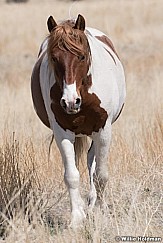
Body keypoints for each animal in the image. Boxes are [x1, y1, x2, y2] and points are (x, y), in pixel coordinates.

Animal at [30, 14, 126, 228]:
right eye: (54, 58)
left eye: (81, 56)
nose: (70, 102)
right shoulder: (62, 132)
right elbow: (71, 175)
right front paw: (76, 218)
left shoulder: (103, 130)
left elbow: (101, 175)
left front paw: (100, 211)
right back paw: (84, 206)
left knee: (92, 162)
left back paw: (93, 203)